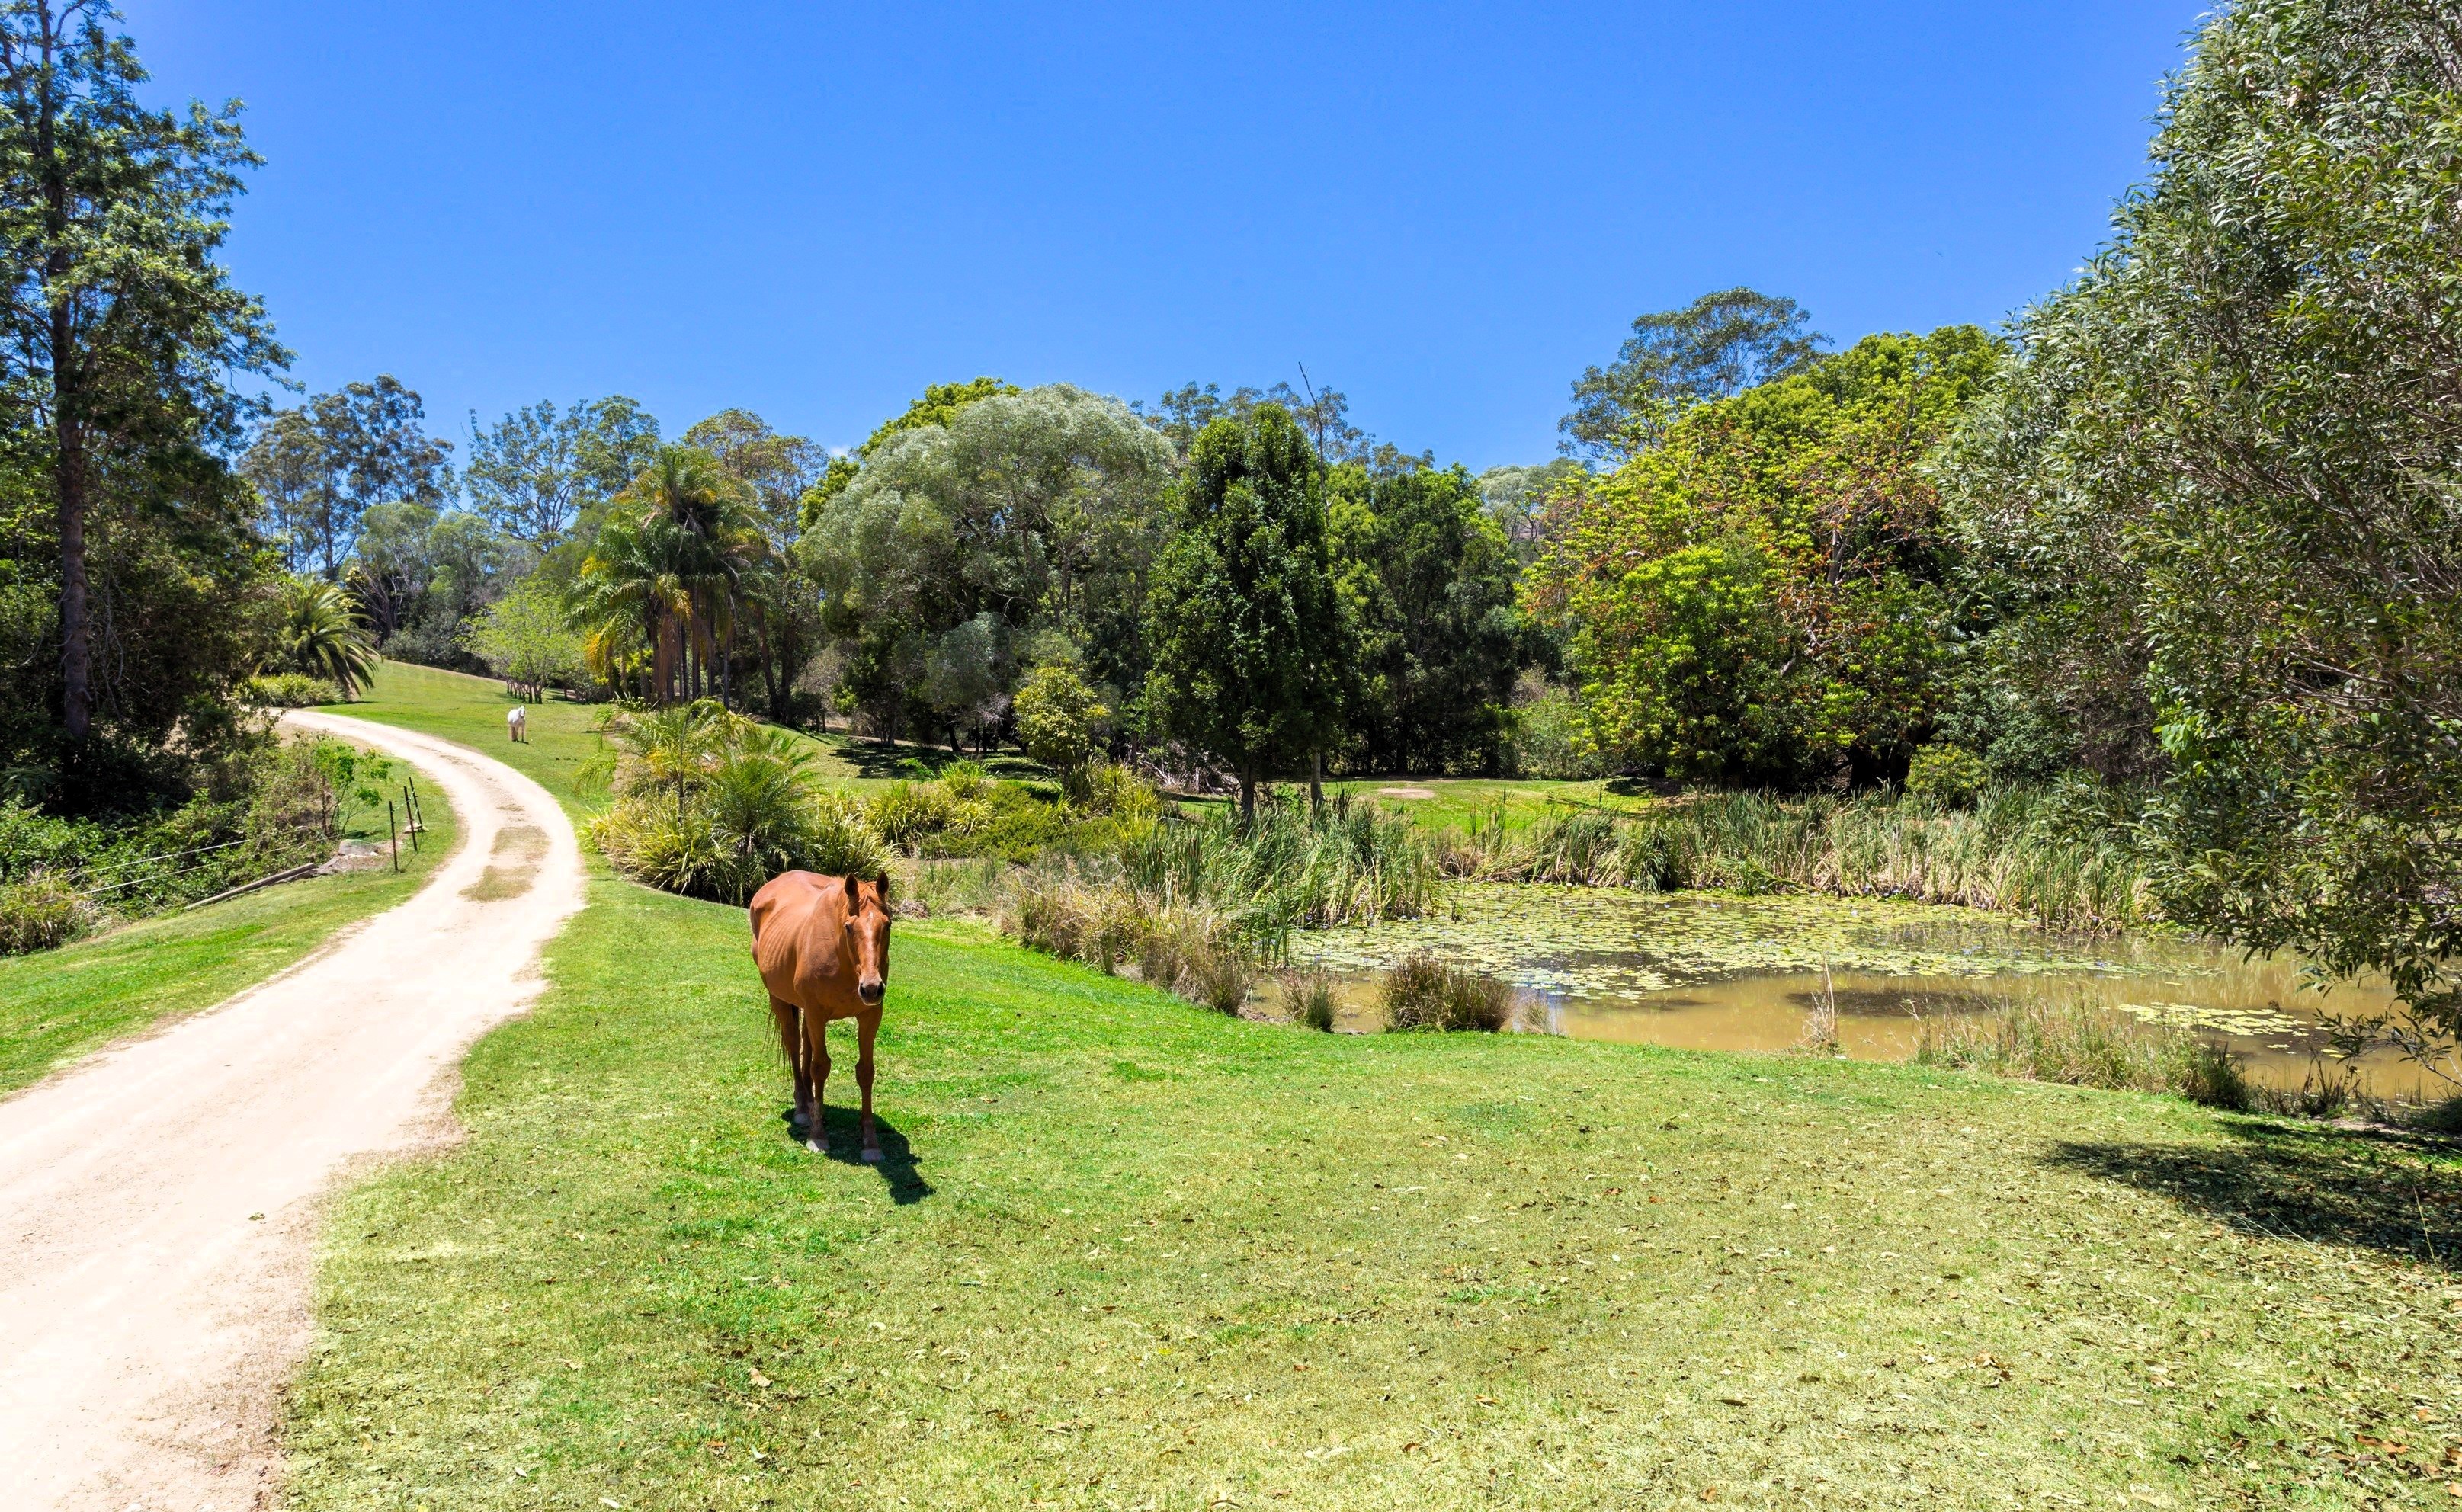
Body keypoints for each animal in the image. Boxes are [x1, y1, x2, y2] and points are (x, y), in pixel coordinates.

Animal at [758, 871, 906, 1167]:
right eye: (849, 927)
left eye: (887, 925)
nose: (871, 988)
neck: (843, 959)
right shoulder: (816, 1013)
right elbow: (820, 1067)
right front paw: (817, 1136)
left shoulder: (870, 1015)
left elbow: (865, 1071)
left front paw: (871, 1143)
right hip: (780, 1000)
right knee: (794, 1045)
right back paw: (804, 1108)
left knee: (806, 1045)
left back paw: (813, 1104)